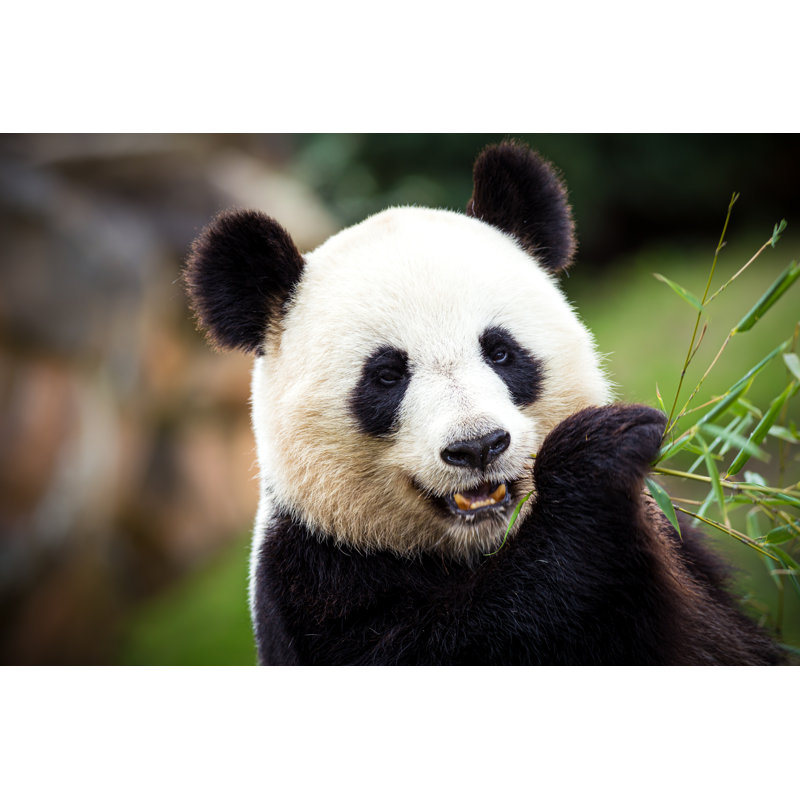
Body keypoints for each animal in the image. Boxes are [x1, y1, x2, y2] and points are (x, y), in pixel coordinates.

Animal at [185, 140, 782, 665]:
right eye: (386, 376)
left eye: (499, 351)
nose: (477, 447)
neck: (480, 544)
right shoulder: (315, 584)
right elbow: (483, 633)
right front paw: (598, 452)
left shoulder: (683, 549)